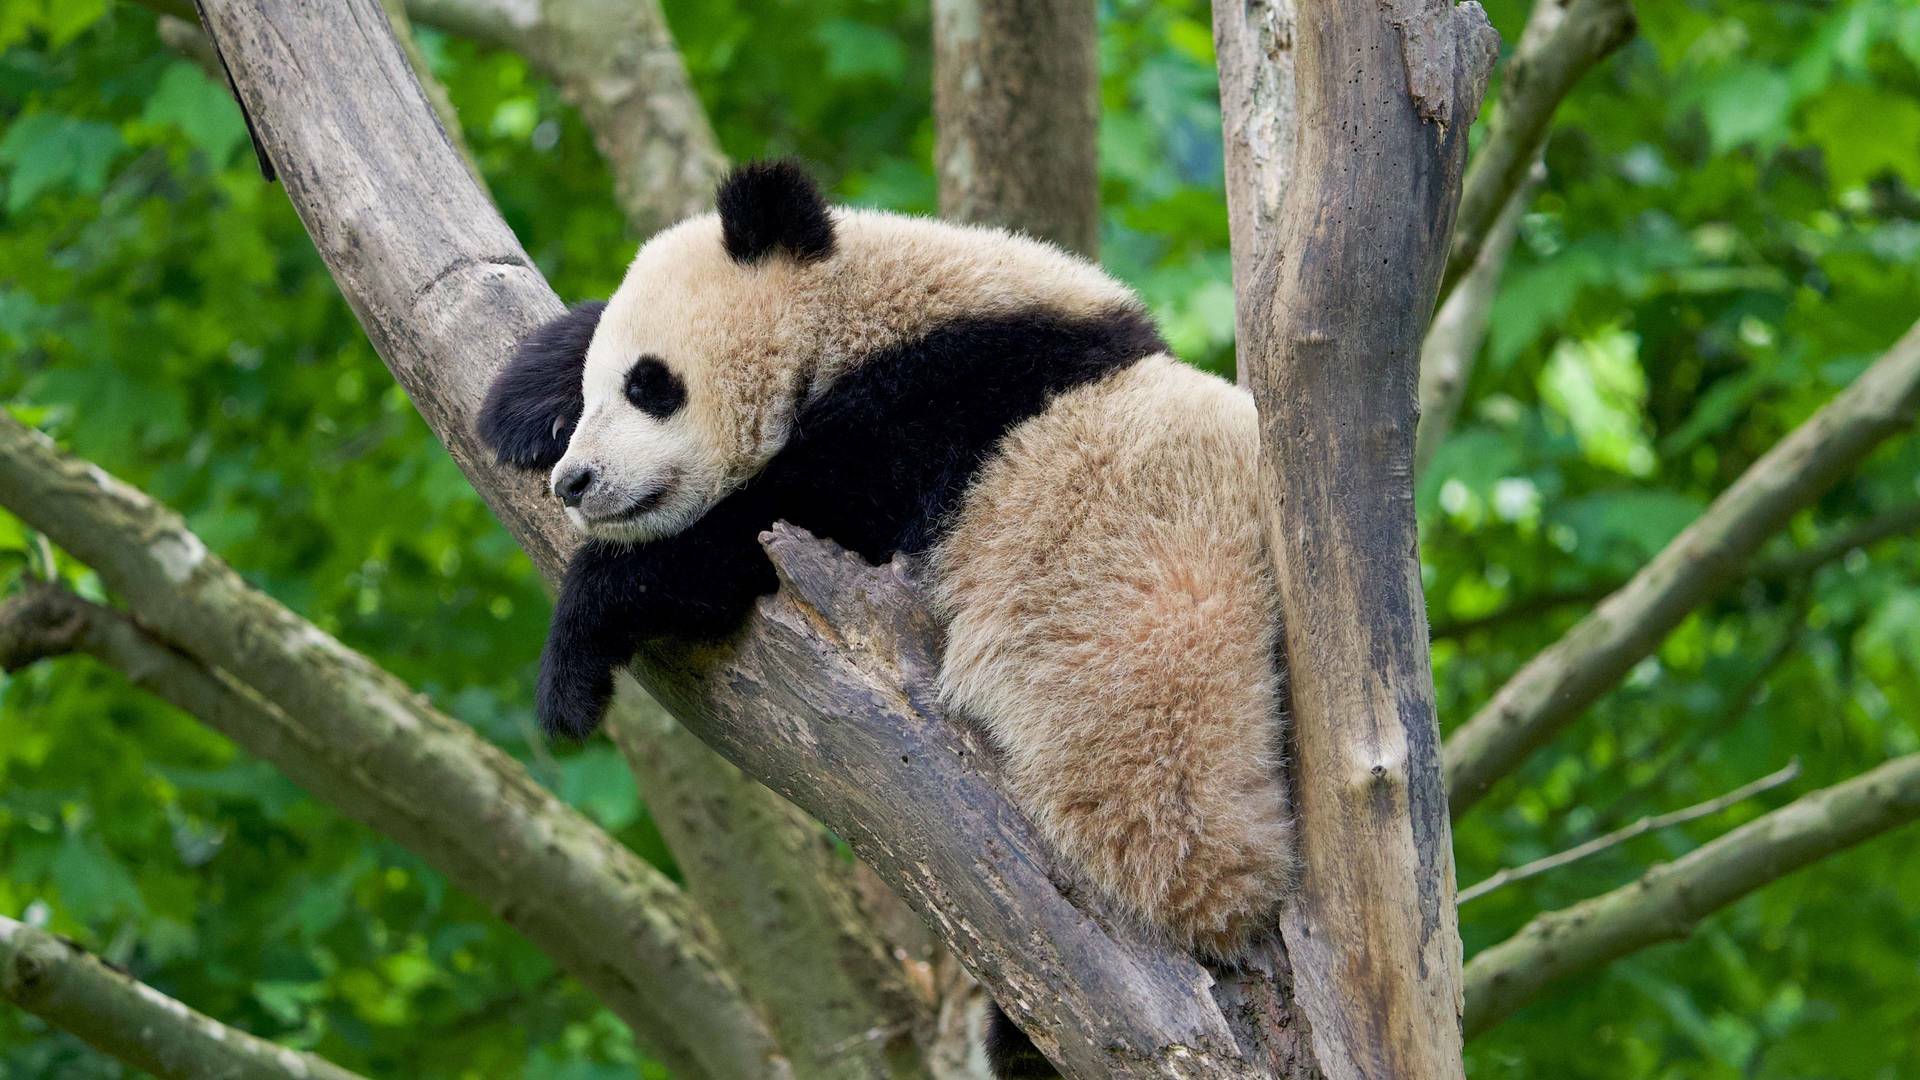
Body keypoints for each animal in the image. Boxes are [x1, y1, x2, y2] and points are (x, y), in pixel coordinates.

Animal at [478, 161, 1293, 1076]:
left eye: (650, 384)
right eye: (594, 388)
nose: (575, 482)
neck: (860, 314)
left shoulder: (945, 408)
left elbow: (771, 522)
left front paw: (573, 663)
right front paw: (524, 395)